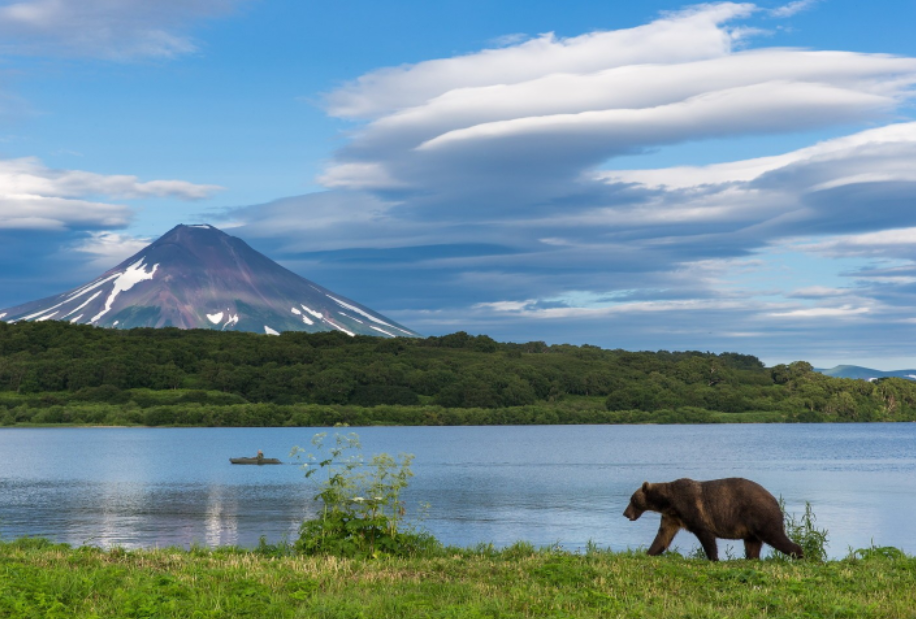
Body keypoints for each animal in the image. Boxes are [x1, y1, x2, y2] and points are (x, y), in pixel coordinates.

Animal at [624, 480, 800, 560]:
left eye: (632, 500)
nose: (625, 513)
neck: (668, 502)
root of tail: (775, 500)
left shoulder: (692, 510)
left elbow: (705, 535)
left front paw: (713, 558)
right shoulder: (671, 518)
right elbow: (663, 537)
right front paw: (649, 552)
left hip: (760, 515)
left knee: (775, 536)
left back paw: (799, 554)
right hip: (750, 528)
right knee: (752, 545)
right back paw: (752, 558)